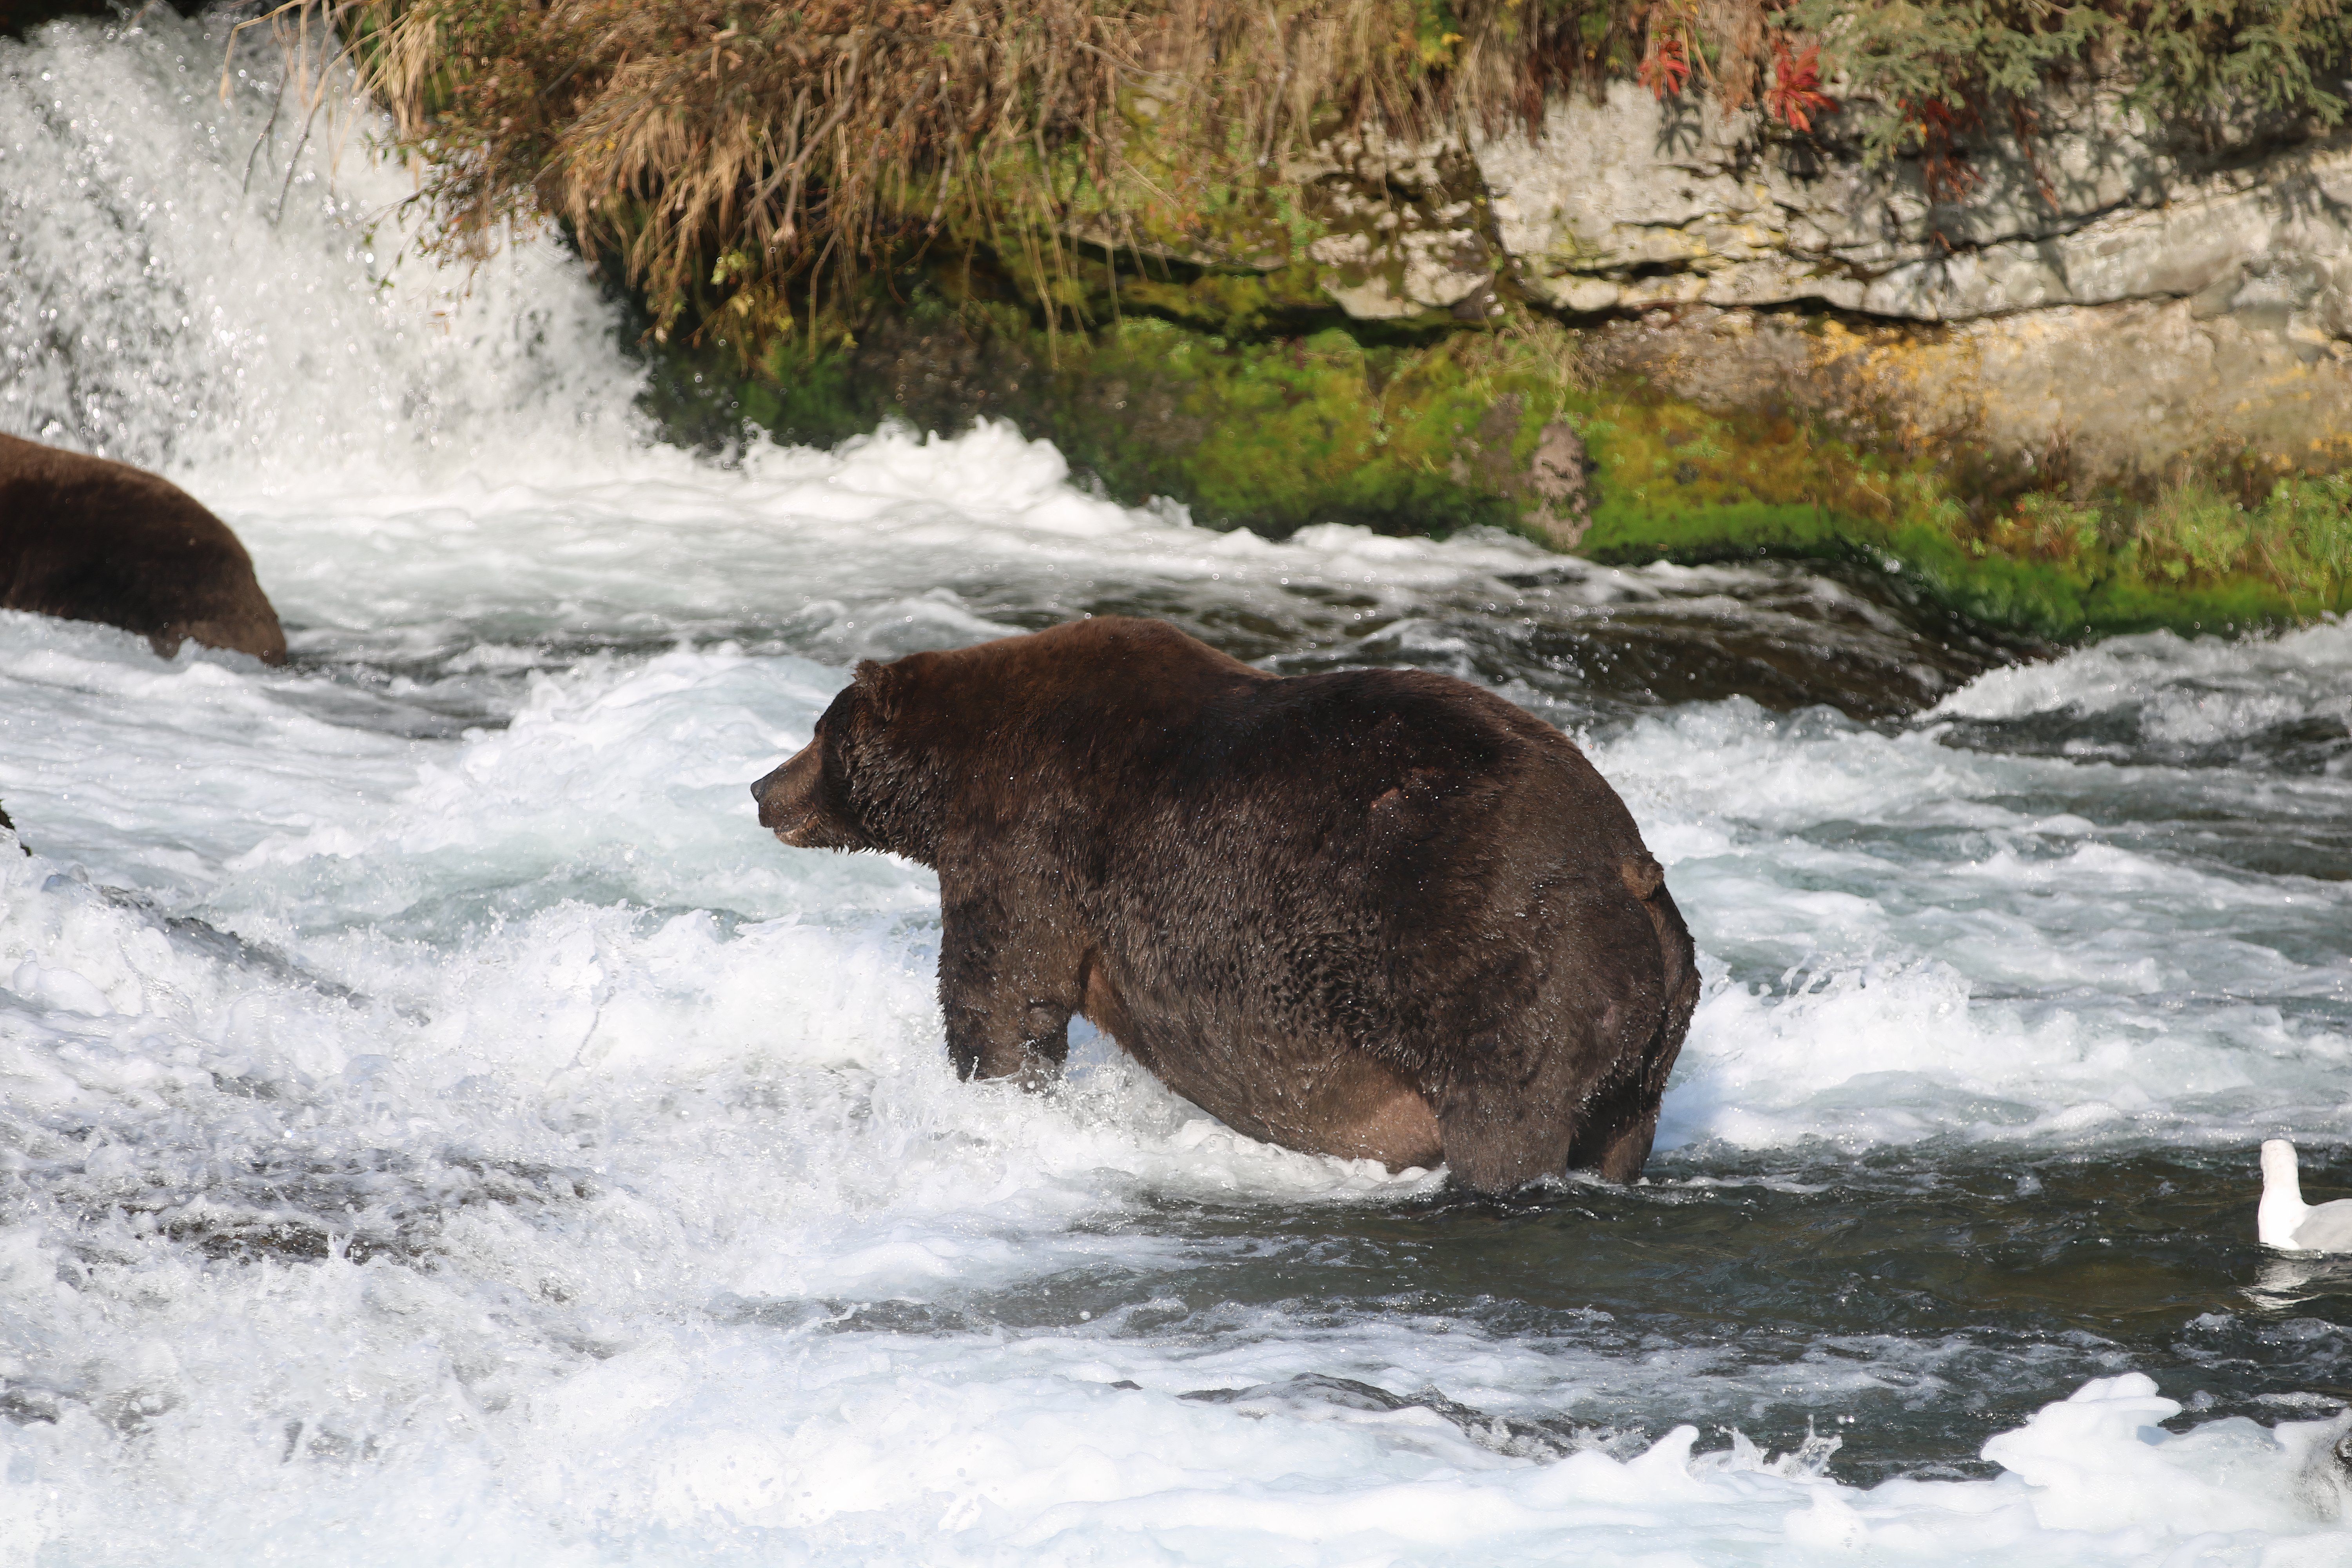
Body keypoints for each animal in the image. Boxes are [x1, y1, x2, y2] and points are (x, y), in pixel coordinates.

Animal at [753, 611, 1693, 1189]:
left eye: (819, 731)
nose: (763, 786)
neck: (955, 775)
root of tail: (1631, 869)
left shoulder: (1031, 834)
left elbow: (1003, 992)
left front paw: (995, 1090)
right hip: (1647, 1034)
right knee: (1623, 1128)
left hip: (1500, 962)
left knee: (1506, 1118)